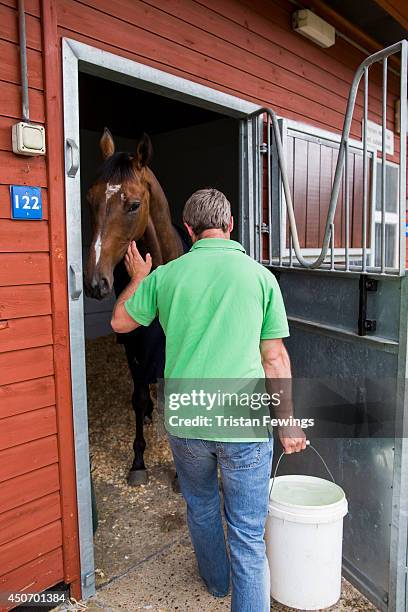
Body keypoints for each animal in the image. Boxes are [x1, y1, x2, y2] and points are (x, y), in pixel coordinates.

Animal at [84, 128, 185, 488]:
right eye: (90, 199)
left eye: (134, 204)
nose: (95, 282)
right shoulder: (134, 346)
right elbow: (138, 397)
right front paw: (139, 461)